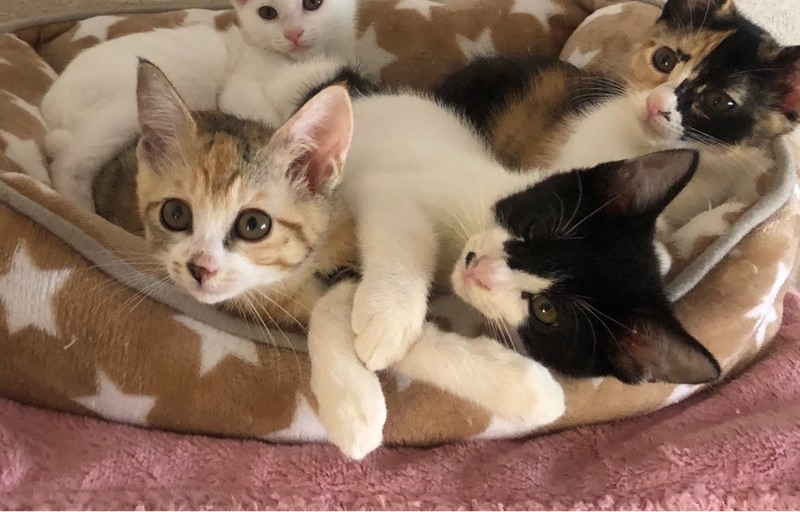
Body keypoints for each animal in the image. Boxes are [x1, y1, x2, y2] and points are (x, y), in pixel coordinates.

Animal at [42, 0, 356, 213]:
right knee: (69, 163)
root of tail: (50, 102)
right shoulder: (239, 89)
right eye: (268, 13)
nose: (293, 33)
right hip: (123, 110)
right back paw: (80, 208)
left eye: (312, 3)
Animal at [304, 83, 721, 458]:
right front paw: (387, 322)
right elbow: (403, 225)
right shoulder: (388, 190)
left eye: (546, 311)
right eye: (536, 227)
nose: (479, 268)